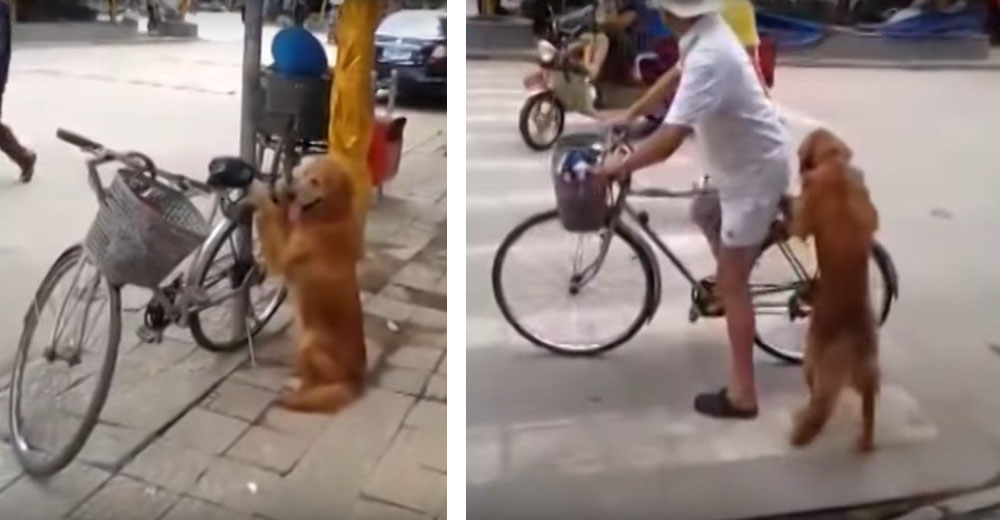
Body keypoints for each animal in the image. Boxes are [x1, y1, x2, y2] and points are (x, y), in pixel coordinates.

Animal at [254, 154, 368, 414]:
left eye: (315, 181)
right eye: (303, 173)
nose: (291, 192)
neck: (330, 218)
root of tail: (354, 381)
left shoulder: (281, 258)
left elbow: (270, 214)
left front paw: (259, 194)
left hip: (308, 342)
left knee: (313, 384)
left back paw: (296, 388)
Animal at [792, 129, 880, 450]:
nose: (799, 170)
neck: (837, 165)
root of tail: (849, 345)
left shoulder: (805, 210)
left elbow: (798, 223)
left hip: (811, 358)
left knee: (815, 393)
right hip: (870, 373)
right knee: (869, 407)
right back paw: (865, 441)